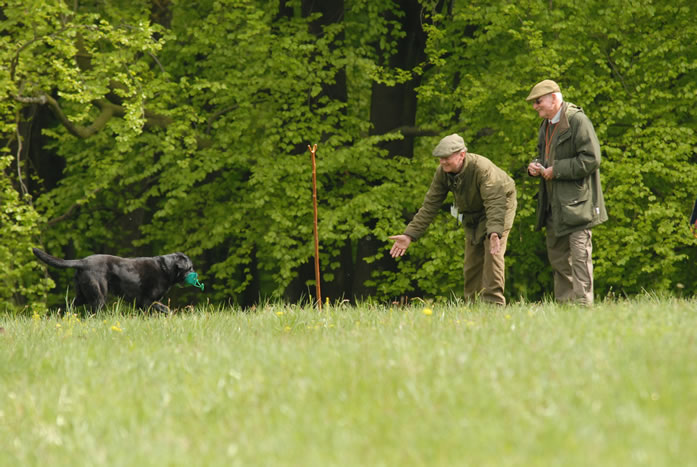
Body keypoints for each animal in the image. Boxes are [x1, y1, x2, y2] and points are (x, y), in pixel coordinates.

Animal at [33, 248, 196, 313]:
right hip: (98, 296)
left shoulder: (141, 304)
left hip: (82, 296)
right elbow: (167, 309)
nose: (196, 275)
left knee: (68, 307)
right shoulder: (148, 301)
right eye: (190, 267)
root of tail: (82, 261)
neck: (165, 268)